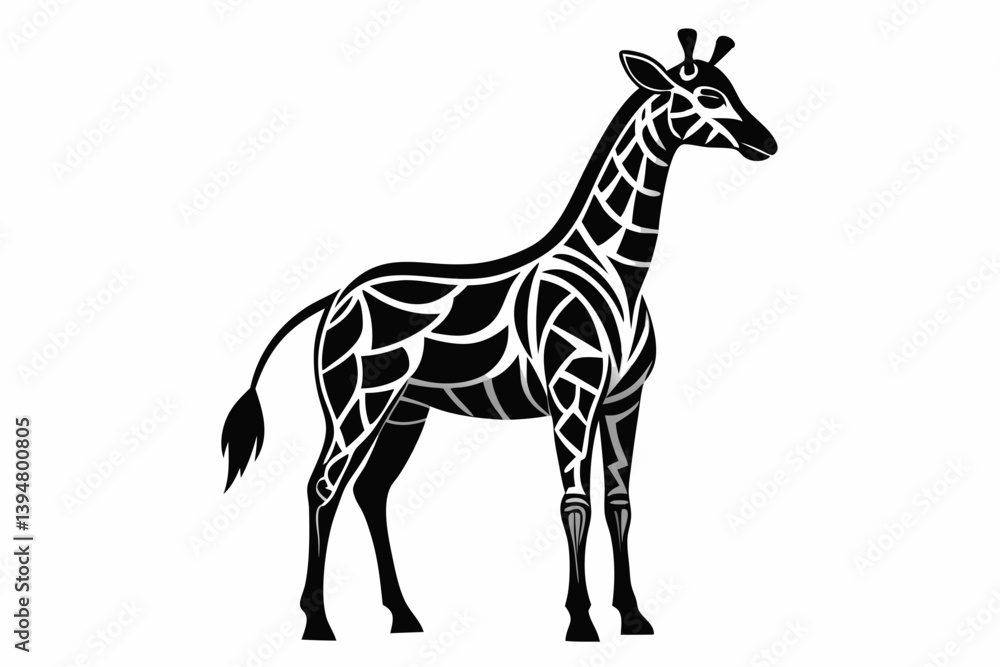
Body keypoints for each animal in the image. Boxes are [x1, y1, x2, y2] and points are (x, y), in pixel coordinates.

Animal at [221, 29, 776, 642]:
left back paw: (403, 616)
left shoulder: (624, 400)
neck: (619, 272)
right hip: (357, 400)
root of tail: (336, 296)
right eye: (708, 95)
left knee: (371, 489)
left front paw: (632, 616)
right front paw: (580, 621)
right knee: (325, 485)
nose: (767, 143)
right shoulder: (572, 395)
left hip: (405, 410)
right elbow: (574, 502)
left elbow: (619, 502)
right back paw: (319, 623)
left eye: (731, 88)